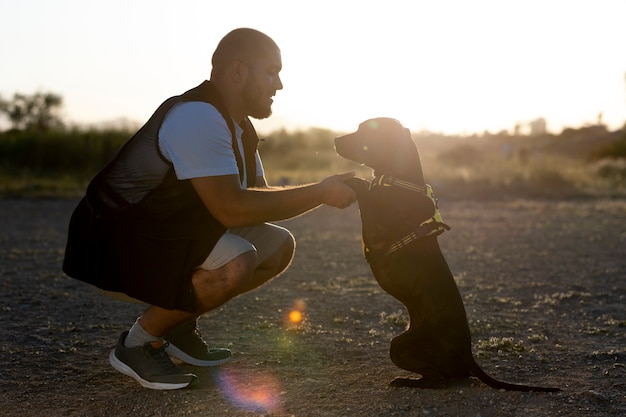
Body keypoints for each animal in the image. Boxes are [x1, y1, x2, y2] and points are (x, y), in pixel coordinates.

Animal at [334, 117, 560, 390]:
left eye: (364, 131)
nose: (334, 140)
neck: (399, 180)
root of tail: (467, 353)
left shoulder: (376, 230)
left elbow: (362, 187)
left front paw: (349, 181)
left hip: (399, 344)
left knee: (438, 379)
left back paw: (406, 381)